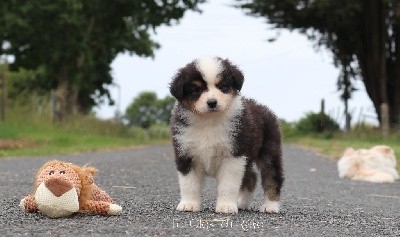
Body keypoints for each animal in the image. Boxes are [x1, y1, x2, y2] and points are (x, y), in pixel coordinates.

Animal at [169, 56, 284, 214]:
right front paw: (188, 204)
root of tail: (264, 108)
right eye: (197, 90)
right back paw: (243, 203)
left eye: (222, 86)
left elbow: (228, 185)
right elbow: (189, 184)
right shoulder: (186, 153)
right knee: (251, 177)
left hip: (269, 151)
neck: (209, 121)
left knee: (272, 177)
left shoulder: (233, 155)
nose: (212, 103)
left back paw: (270, 206)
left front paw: (226, 206)